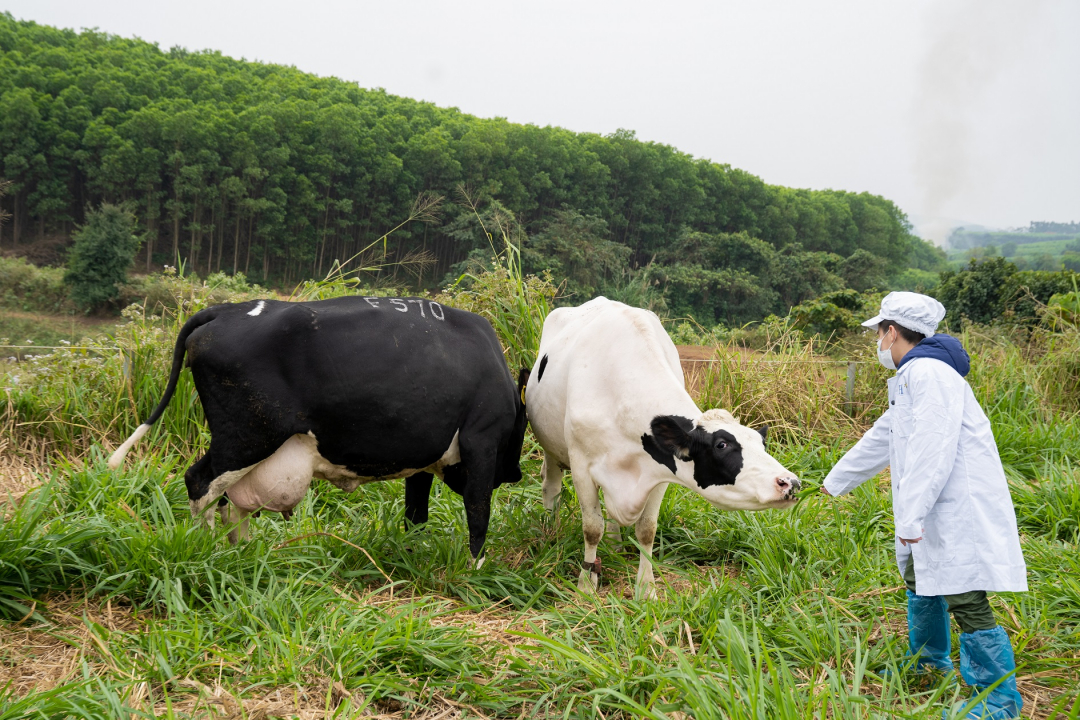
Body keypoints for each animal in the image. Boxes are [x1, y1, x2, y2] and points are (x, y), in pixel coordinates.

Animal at [109, 295, 527, 561]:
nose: (516, 474)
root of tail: (225, 310)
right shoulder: (481, 441)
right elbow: (478, 511)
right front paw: (475, 569)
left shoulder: (423, 458)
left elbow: (416, 515)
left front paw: (412, 555)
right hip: (247, 435)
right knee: (200, 482)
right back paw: (209, 550)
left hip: (246, 442)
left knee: (230, 502)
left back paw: (242, 552)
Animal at [524, 295, 803, 600]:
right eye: (722, 444)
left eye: (761, 443)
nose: (790, 482)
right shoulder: (582, 467)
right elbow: (591, 528)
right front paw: (587, 584)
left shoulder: (659, 472)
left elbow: (647, 529)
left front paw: (646, 590)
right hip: (551, 447)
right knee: (551, 486)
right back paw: (551, 531)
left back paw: (614, 544)